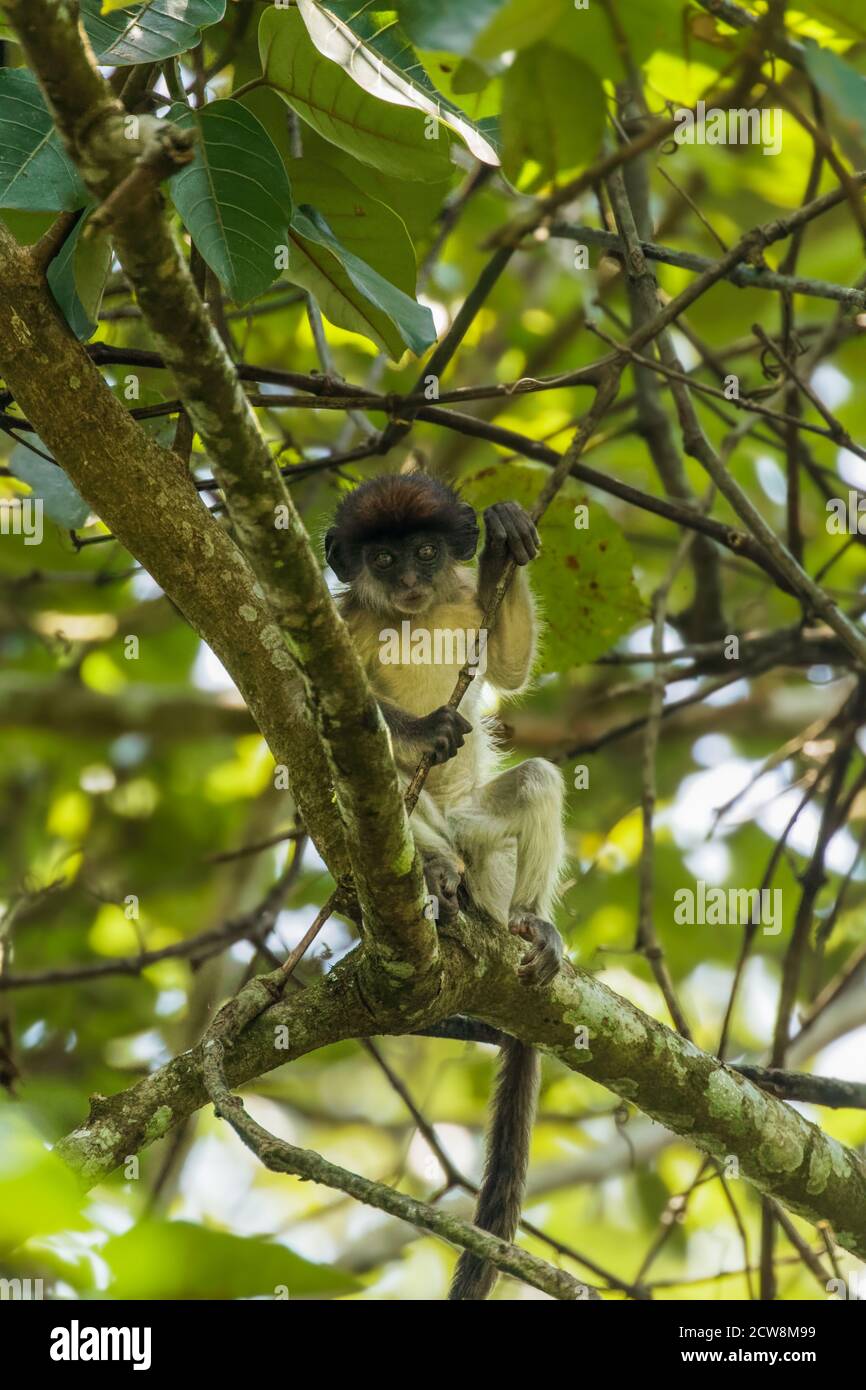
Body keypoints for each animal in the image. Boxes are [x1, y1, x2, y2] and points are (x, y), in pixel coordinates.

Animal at [325, 472, 569, 1295]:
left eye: (426, 553)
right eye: (383, 555)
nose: (405, 577)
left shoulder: (462, 604)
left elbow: (510, 670)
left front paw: (504, 537)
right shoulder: (341, 620)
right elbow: (321, 707)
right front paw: (425, 729)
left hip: (486, 844)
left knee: (535, 780)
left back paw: (525, 920)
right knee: (361, 780)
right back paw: (433, 873)